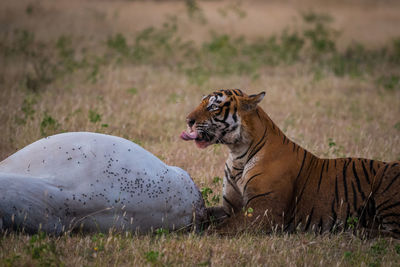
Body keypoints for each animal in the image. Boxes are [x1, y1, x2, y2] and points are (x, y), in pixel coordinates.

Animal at [180, 89, 400, 238]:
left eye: (213, 106)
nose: (187, 120)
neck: (237, 155)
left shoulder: (263, 212)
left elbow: (221, 228)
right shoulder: (230, 208)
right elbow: (204, 214)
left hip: (387, 178)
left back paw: (355, 231)